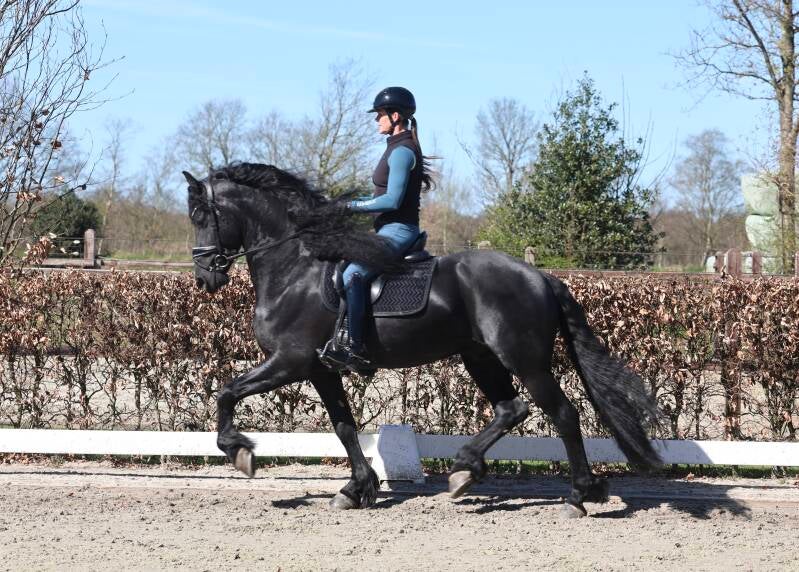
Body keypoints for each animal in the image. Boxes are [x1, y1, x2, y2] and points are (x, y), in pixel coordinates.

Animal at [184, 162, 661, 517]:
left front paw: (239, 452)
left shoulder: (290, 361)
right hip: (480, 357)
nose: (205, 277)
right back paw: (466, 470)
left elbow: (227, 392)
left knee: (562, 413)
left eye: (200, 216)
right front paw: (356, 489)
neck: (294, 268)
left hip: (523, 359)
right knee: (512, 409)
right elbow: (344, 427)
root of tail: (540, 277)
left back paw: (578, 496)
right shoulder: (321, 369)